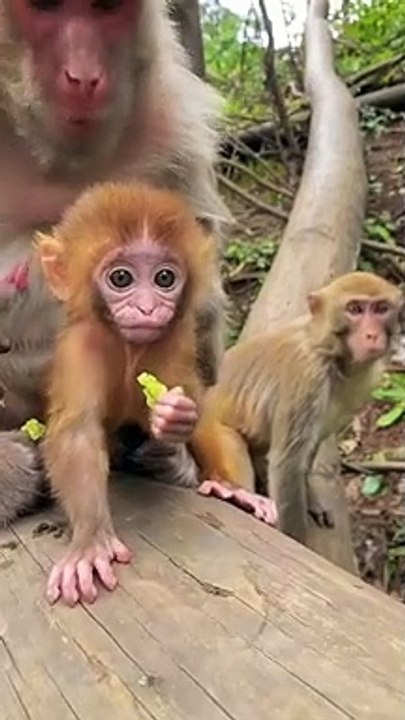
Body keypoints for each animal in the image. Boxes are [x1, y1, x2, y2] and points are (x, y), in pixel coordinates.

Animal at [35, 181, 217, 606]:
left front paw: (176, 415)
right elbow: (76, 433)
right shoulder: (82, 347)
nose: (148, 308)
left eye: (165, 278)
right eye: (121, 279)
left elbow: (192, 393)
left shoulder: (173, 337)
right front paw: (89, 543)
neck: (129, 346)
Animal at [191, 272, 403, 543]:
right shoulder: (307, 376)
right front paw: (294, 540)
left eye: (381, 308)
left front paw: (310, 497)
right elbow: (288, 463)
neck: (330, 353)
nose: (372, 335)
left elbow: (312, 444)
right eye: (355, 309)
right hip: (210, 432)